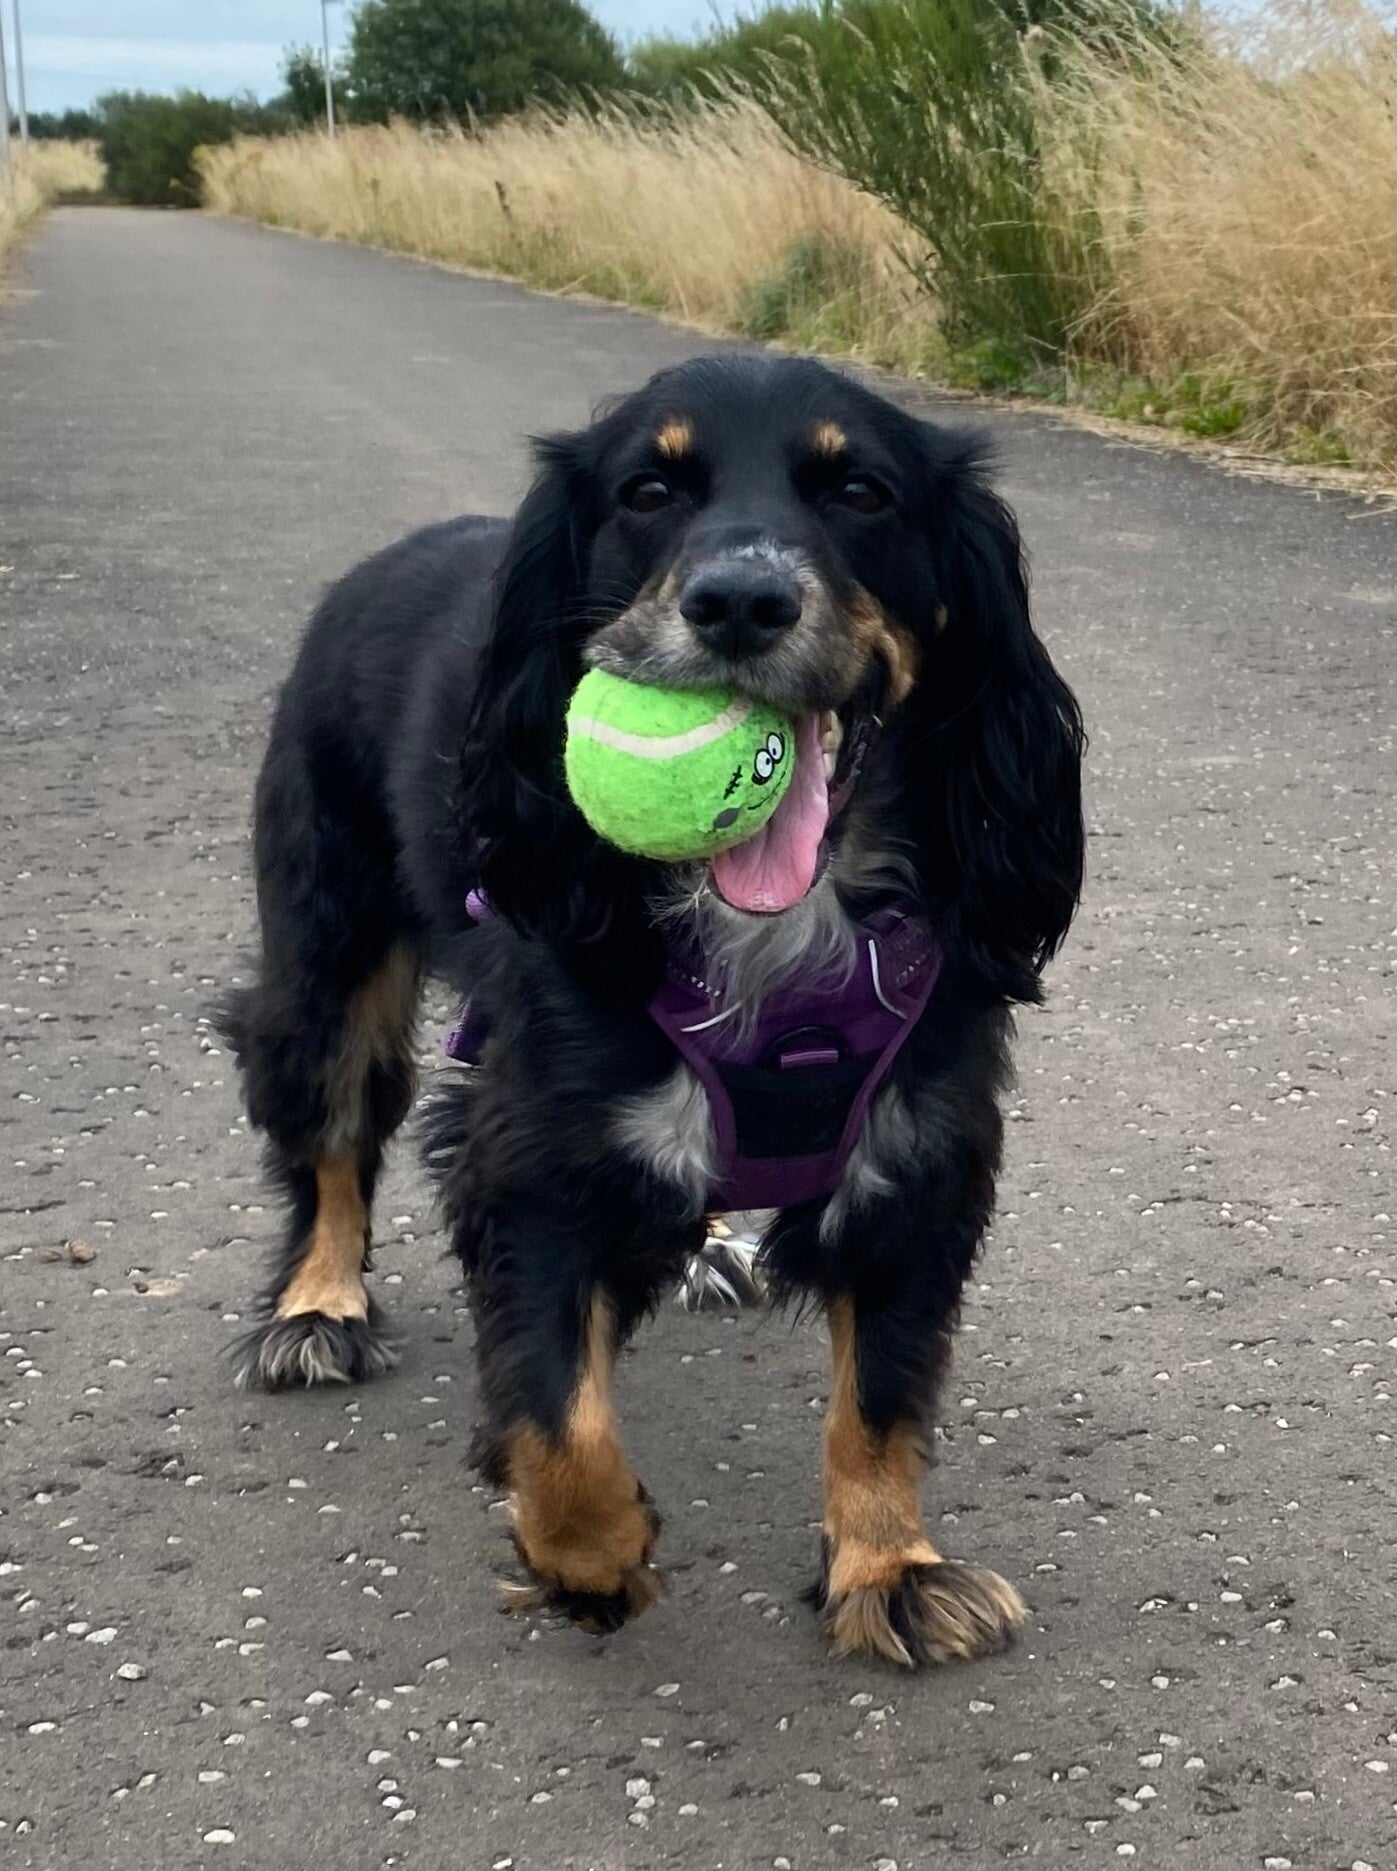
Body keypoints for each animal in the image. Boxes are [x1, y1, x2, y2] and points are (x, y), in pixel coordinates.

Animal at [219, 354, 1085, 1668]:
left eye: (859, 491)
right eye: (647, 489)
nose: (739, 601)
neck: (774, 941)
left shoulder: (919, 1150)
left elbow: (878, 1398)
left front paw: (887, 1566)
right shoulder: (531, 1157)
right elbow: (560, 1422)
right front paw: (590, 1554)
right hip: (331, 948)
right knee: (327, 1129)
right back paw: (317, 1303)